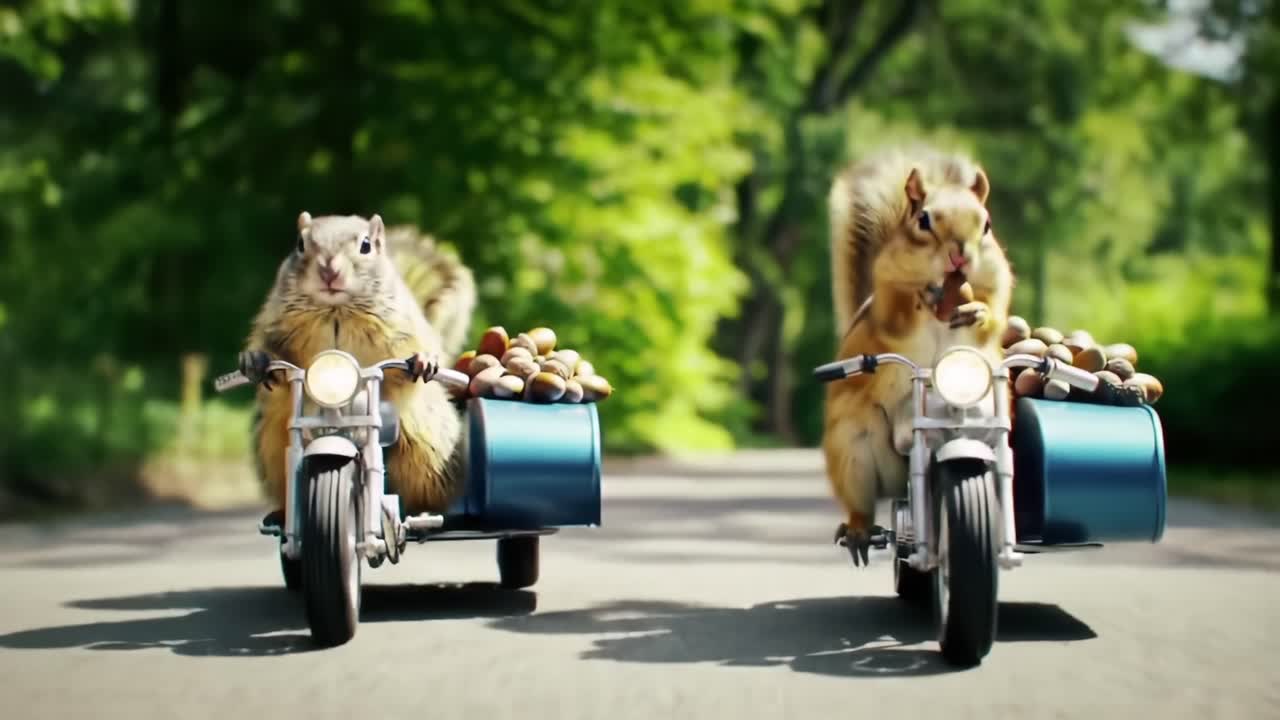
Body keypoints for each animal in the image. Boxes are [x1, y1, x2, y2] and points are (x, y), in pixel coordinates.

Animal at [240, 211, 477, 529]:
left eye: (366, 245)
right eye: (300, 243)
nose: (329, 271)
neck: (336, 311)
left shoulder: (405, 325)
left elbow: (416, 349)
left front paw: (423, 359)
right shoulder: (274, 325)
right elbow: (269, 351)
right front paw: (255, 360)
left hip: (427, 448)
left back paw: (423, 512)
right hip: (272, 447)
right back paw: (281, 515)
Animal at [822, 146, 1015, 566]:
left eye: (987, 225)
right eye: (923, 220)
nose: (960, 257)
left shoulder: (998, 281)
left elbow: (994, 319)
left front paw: (976, 311)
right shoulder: (885, 301)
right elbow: (897, 315)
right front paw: (922, 297)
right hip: (854, 451)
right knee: (863, 506)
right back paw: (859, 531)